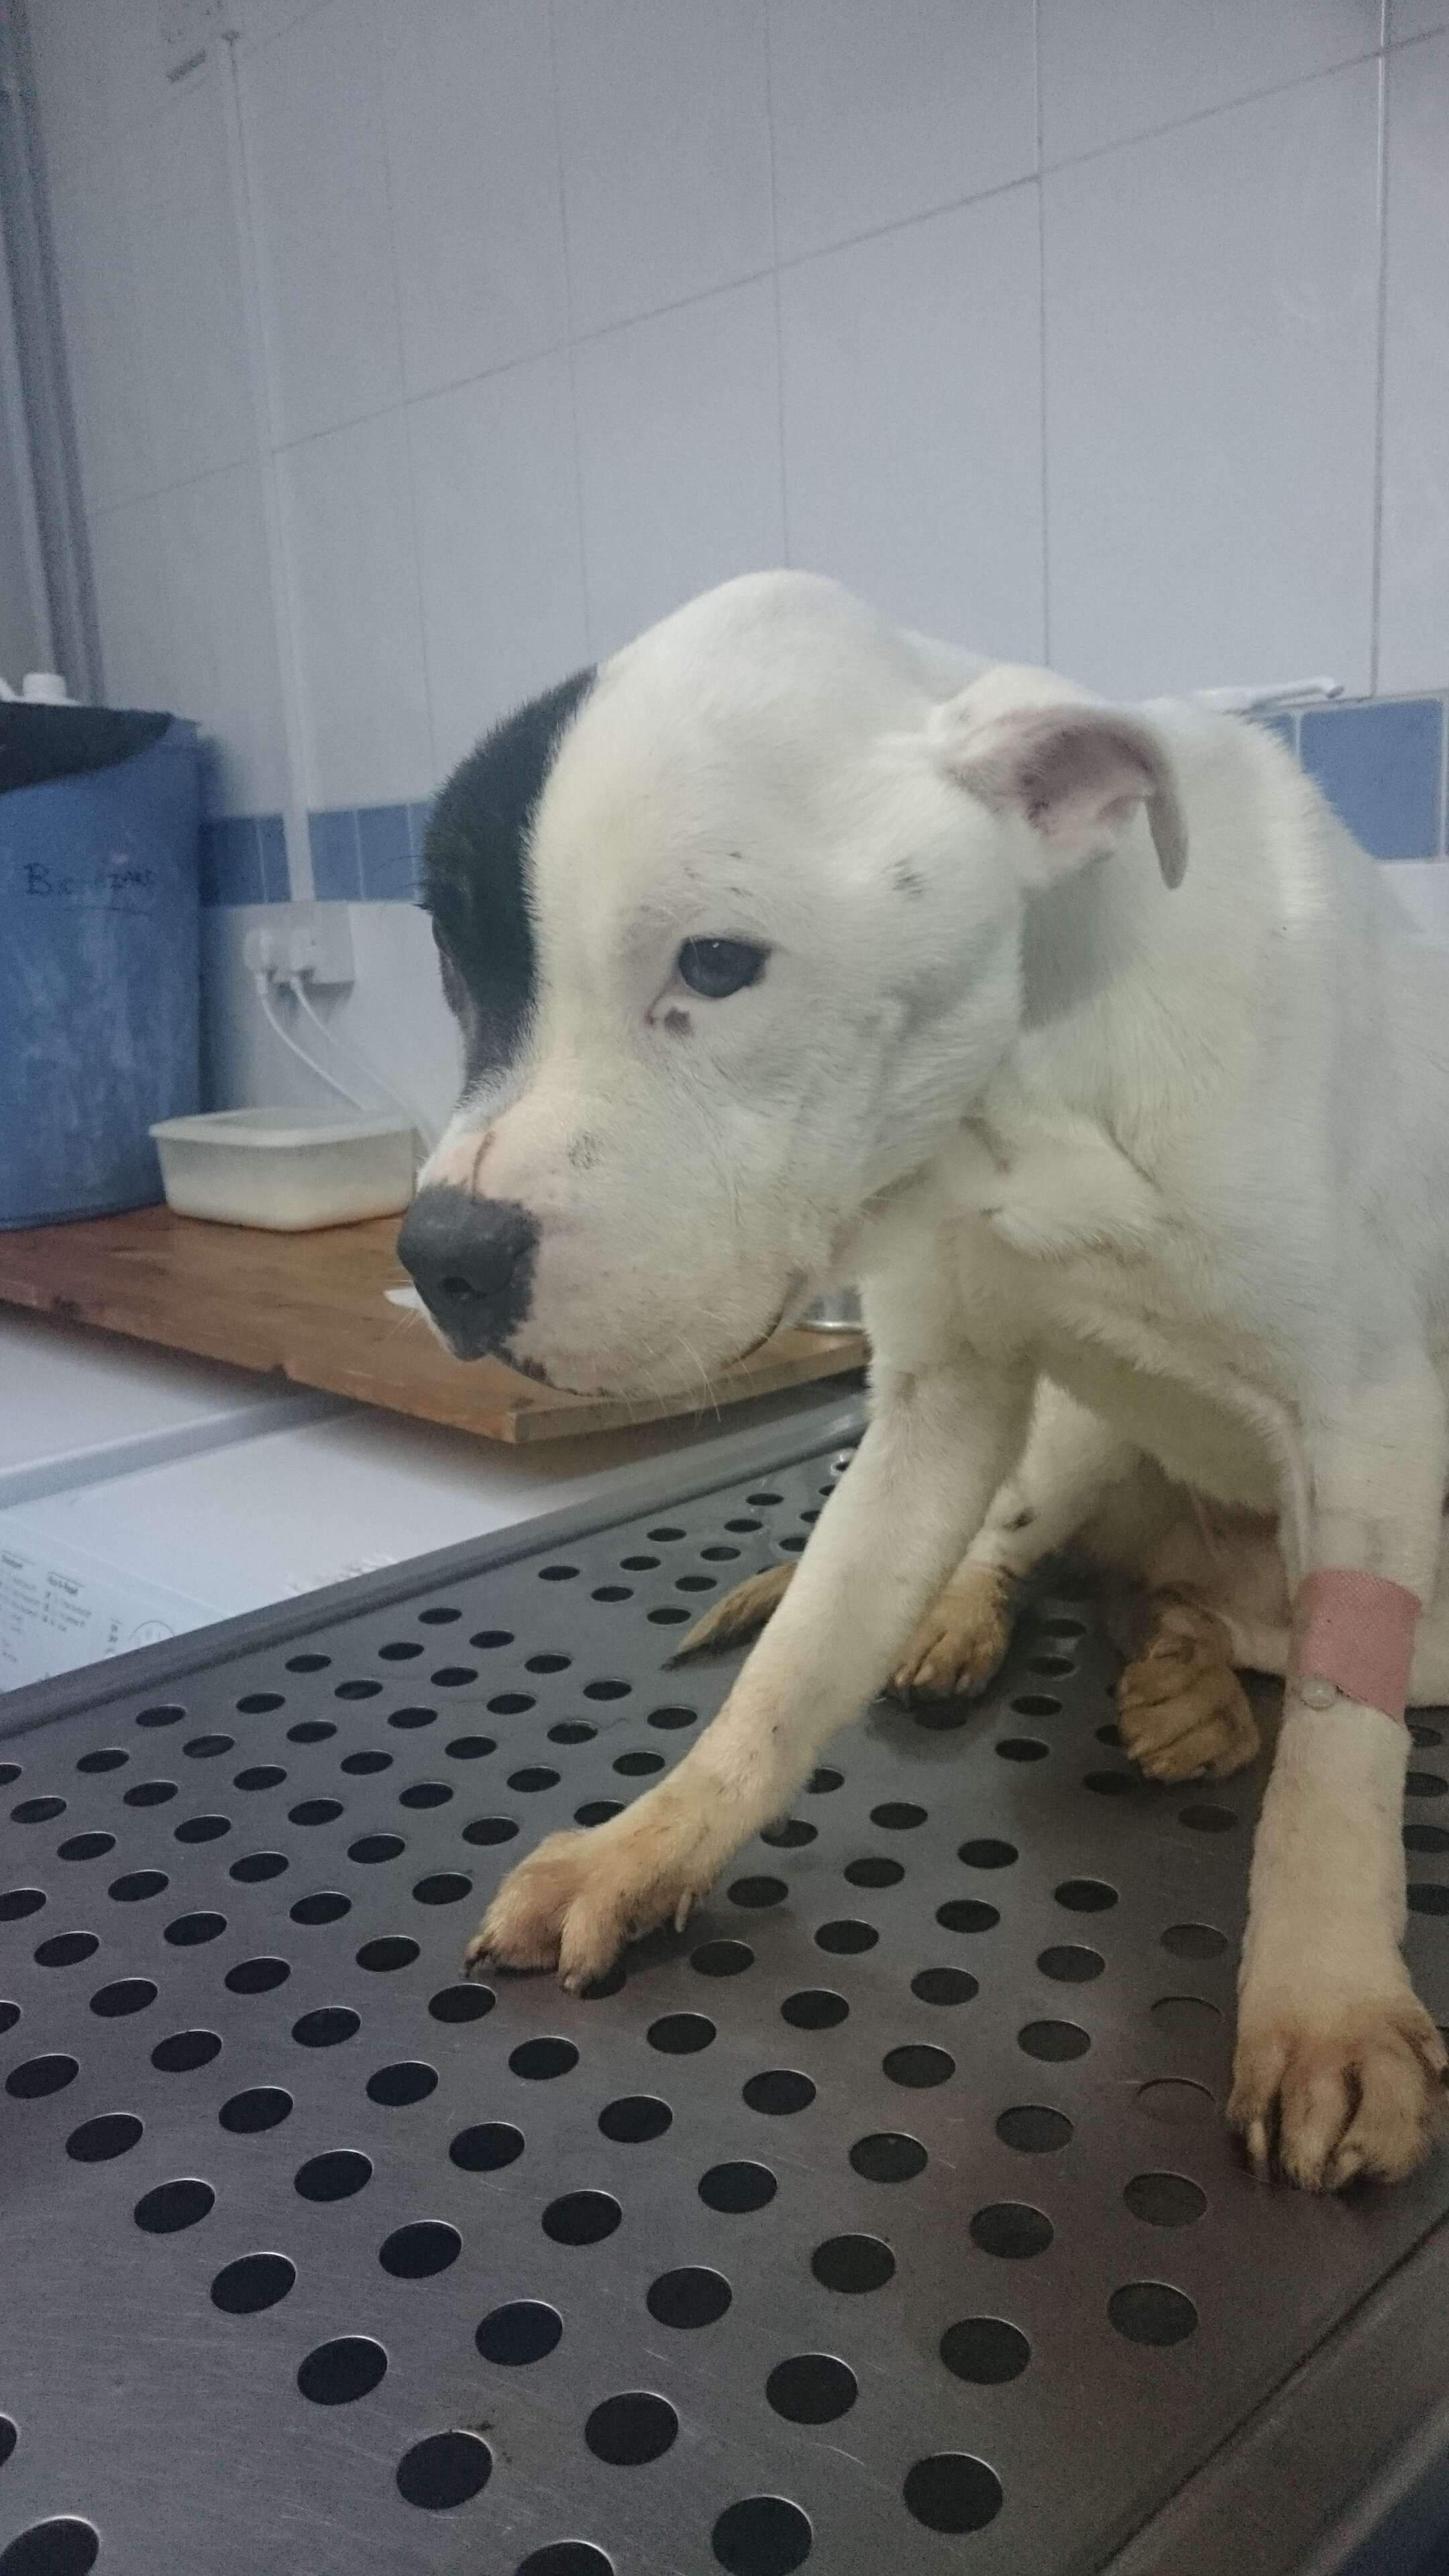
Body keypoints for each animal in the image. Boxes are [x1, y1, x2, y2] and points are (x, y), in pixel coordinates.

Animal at [399, 569, 1444, 2194]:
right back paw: (1060, 1640)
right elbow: (797, 1662)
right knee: (1071, 1560)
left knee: (1277, 1648)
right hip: (1073, 1431)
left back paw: (1200, 1691)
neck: (1029, 1080)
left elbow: (1341, 1744)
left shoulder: (1370, 1420)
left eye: (716, 964)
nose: (439, 1256)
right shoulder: (942, 1400)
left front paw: (1327, 2004)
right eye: (456, 957)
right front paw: (655, 1844)